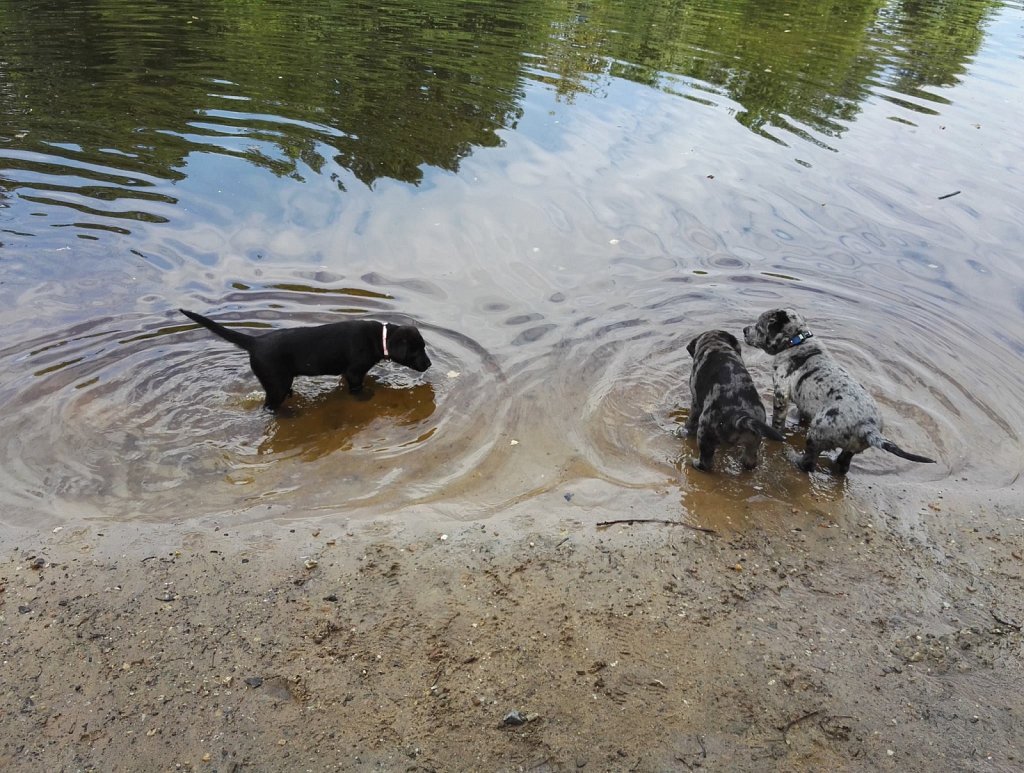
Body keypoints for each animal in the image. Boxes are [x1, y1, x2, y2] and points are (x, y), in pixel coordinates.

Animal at [178, 309, 430, 411]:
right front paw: (365, 396)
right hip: (276, 384)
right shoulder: (354, 371)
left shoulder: (346, 372)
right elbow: (357, 388)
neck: (380, 338)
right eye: (417, 349)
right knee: (269, 407)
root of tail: (255, 342)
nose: (429, 364)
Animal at [679, 327, 782, 470]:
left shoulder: (695, 402)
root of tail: (739, 416)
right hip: (754, 441)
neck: (715, 344)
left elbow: (690, 422)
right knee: (749, 461)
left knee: (706, 462)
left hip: (704, 431)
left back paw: (694, 462)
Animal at [745, 307, 937, 475]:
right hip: (850, 448)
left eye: (759, 326)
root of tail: (867, 426)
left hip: (816, 433)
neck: (797, 341)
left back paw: (792, 457)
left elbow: (778, 421)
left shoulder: (780, 394)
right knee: (843, 464)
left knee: (809, 463)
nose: (744, 329)